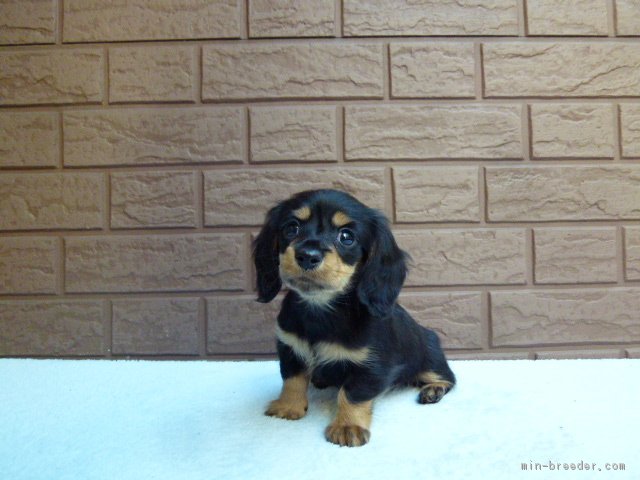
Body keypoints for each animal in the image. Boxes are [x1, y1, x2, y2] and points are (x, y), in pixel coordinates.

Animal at [253, 189, 455, 447]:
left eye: (346, 236)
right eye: (292, 228)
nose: (307, 256)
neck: (321, 310)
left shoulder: (371, 366)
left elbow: (352, 394)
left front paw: (347, 426)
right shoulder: (291, 349)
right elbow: (292, 380)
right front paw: (288, 407)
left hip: (429, 356)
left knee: (447, 377)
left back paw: (433, 390)